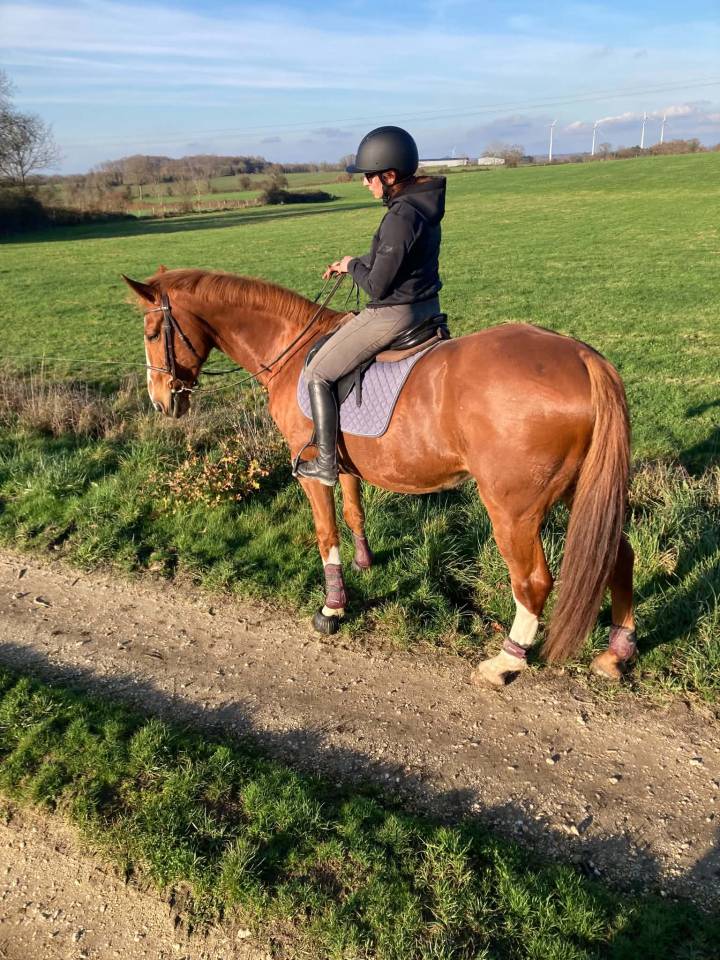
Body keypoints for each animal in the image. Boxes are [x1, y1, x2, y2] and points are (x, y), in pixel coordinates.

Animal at [123, 267, 636, 686]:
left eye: (152, 331)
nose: (160, 402)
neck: (292, 349)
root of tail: (584, 359)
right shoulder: (341, 464)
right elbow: (354, 511)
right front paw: (364, 563)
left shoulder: (310, 472)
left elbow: (325, 531)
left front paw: (332, 607)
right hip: (581, 492)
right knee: (619, 554)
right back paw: (616, 653)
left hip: (513, 510)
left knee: (532, 582)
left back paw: (505, 662)